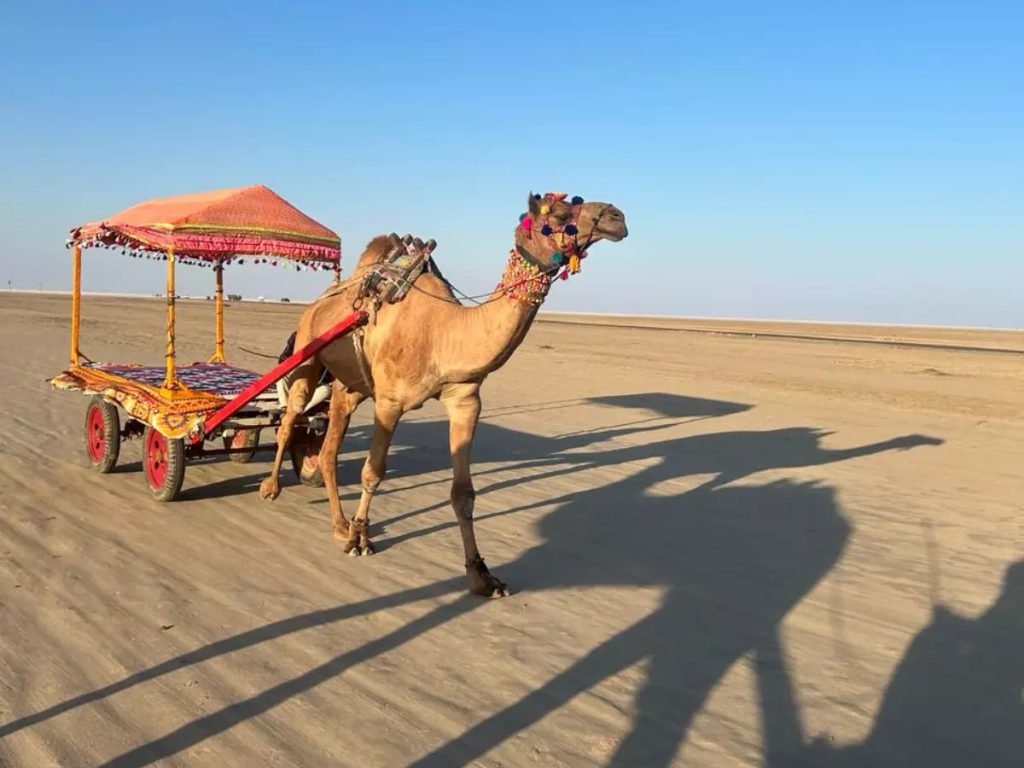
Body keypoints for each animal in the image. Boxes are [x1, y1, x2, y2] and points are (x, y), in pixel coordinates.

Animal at [258, 191, 622, 593]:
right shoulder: (390, 402)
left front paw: (481, 575)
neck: (443, 332)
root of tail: (322, 299)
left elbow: (464, 492)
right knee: (290, 417)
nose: (616, 217)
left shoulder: (465, 400)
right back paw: (273, 488)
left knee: (328, 449)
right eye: (558, 214)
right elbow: (373, 472)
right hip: (307, 352)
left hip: (350, 384)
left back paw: (339, 525)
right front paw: (361, 540)